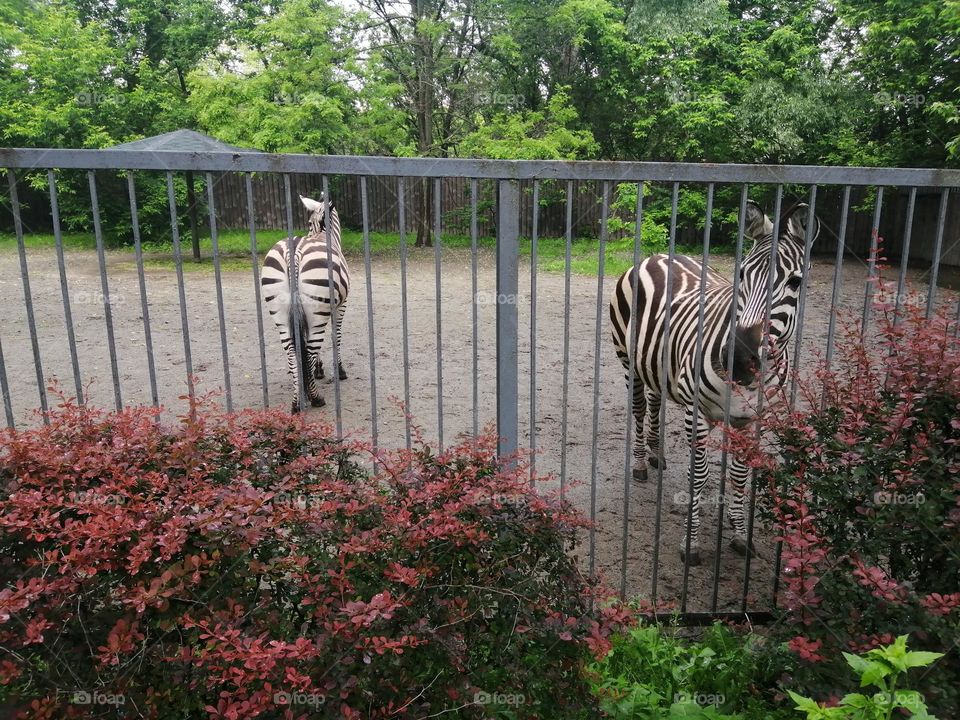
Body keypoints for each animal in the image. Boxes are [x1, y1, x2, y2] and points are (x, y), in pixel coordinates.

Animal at [260, 193, 350, 412]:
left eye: (308, 223)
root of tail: (294, 254)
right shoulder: (340, 306)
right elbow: (336, 336)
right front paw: (339, 370)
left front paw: (319, 370)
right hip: (317, 309)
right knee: (309, 349)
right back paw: (315, 397)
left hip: (280, 312)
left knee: (293, 351)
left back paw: (297, 401)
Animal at [608, 200, 819, 565]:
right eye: (741, 274)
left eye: (796, 282)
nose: (739, 359)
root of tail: (658, 255)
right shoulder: (697, 412)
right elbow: (699, 475)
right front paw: (690, 543)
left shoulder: (752, 419)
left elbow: (739, 474)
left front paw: (739, 532)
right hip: (628, 359)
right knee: (638, 409)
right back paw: (640, 462)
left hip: (658, 362)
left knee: (655, 401)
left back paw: (656, 452)